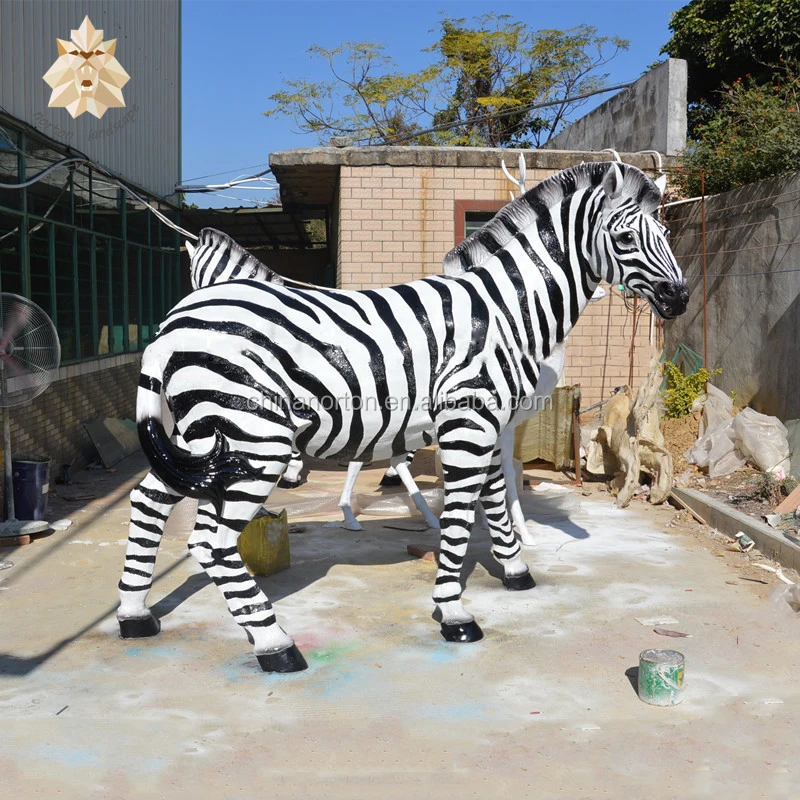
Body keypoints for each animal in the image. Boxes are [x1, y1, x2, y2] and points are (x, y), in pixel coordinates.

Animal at [119, 161, 688, 673]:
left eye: (664, 234)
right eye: (623, 237)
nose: (680, 298)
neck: (505, 312)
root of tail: (174, 320)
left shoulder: (489, 422)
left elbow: (495, 499)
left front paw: (515, 568)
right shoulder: (470, 420)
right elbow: (460, 516)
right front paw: (454, 612)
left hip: (203, 437)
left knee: (148, 499)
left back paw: (135, 614)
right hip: (255, 440)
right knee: (210, 543)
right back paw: (275, 645)